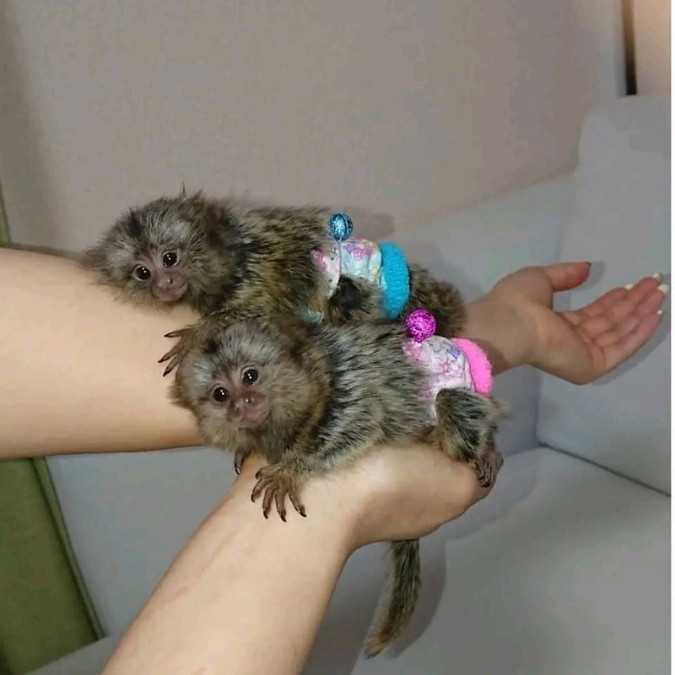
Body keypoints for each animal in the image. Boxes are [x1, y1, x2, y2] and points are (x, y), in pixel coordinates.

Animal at [84, 190, 466, 374]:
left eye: (169, 259)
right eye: (142, 273)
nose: (165, 283)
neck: (230, 257)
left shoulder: (262, 268)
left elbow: (263, 310)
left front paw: (200, 332)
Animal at [172, 316, 503, 657]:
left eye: (250, 376)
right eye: (220, 394)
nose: (242, 404)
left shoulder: (347, 382)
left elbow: (358, 424)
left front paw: (291, 470)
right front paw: (247, 450)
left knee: (451, 401)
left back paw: (481, 449)